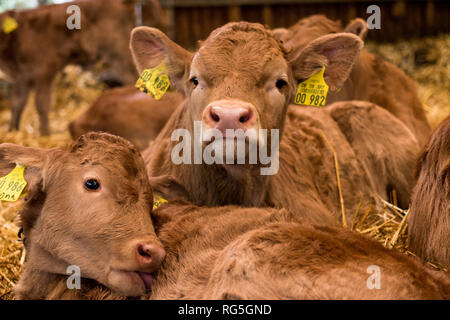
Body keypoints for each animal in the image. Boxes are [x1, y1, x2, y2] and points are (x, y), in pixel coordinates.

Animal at [0, 0, 162, 134]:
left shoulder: (44, 70)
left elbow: (41, 104)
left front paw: (44, 134)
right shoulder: (21, 78)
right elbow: (17, 104)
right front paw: (12, 130)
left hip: (119, 54)